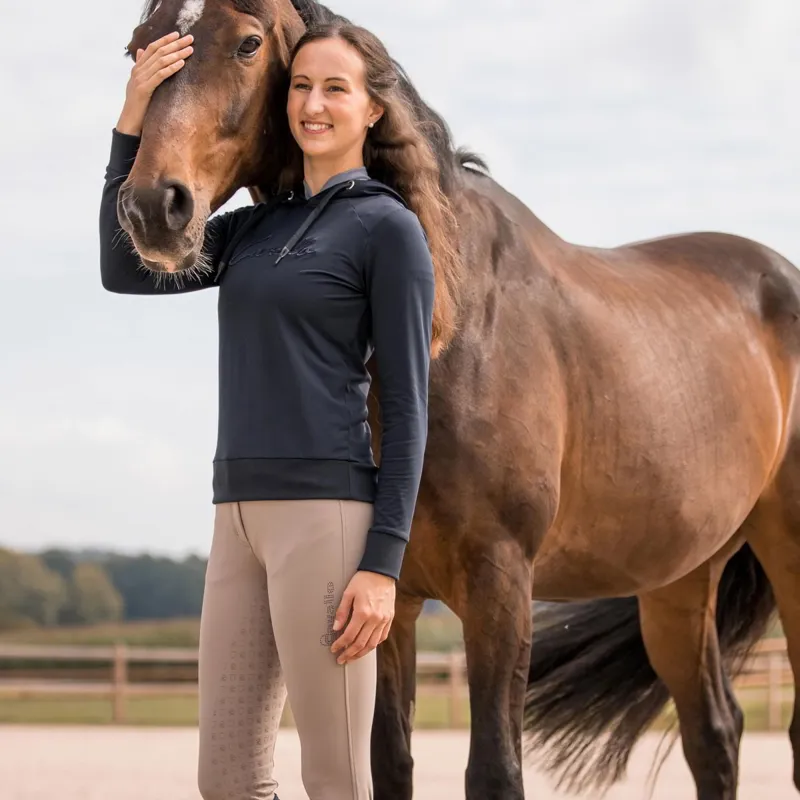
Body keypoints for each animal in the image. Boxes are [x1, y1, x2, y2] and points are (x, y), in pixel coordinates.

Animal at [116, 2, 800, 798]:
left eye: (248, 43)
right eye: (139, 50)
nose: (153, 208)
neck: (455, 314)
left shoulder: (499, 584)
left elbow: (495, 770)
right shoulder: (391, 601)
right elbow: (386, 761)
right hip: (680, 580)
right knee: (714, 734)